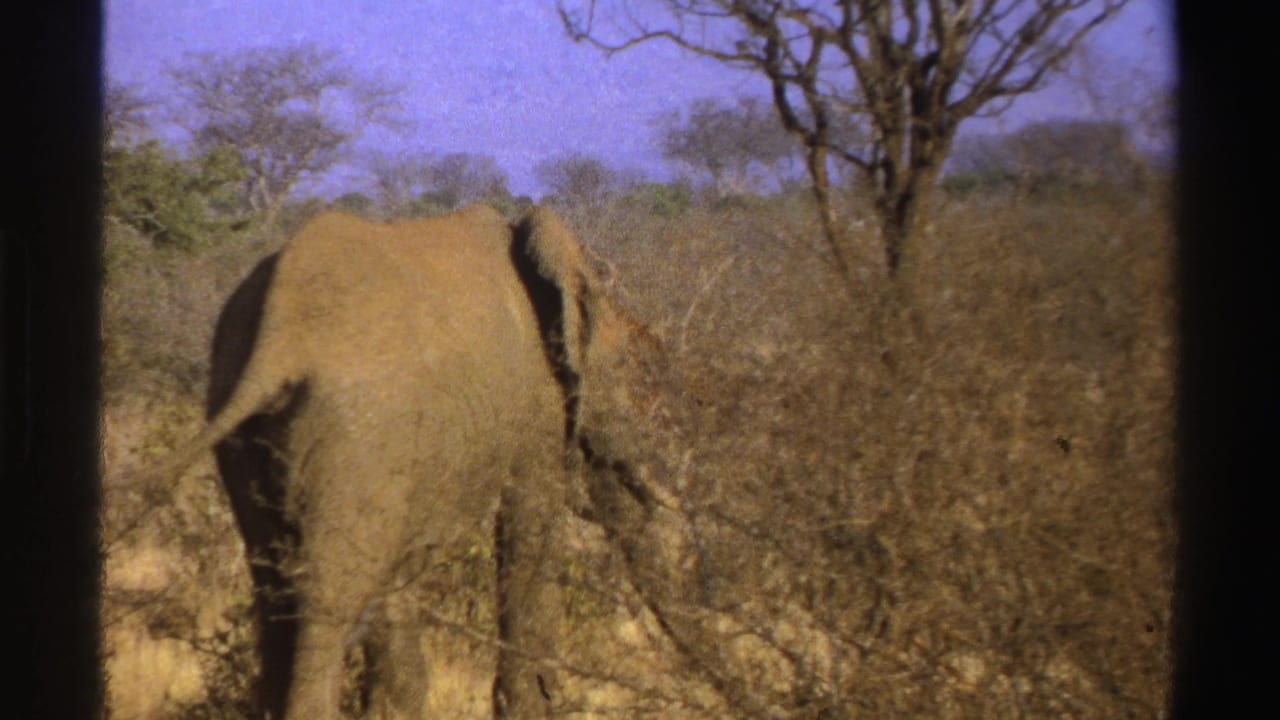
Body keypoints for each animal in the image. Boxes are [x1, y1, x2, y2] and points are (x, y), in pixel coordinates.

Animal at [151, 204, 665, 719]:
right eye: (632, 372)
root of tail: (280, 341)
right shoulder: (536, 404)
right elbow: (530, 531)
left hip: (252, 426)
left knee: (278, 596)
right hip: (357, 431)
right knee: (330, 602)